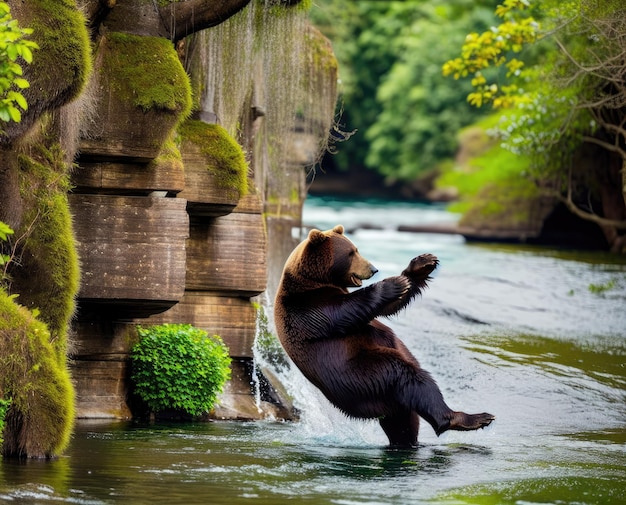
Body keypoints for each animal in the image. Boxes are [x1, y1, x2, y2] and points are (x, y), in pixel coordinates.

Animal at [272, 224, 492, 444]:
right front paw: (393, 283)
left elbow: (389, 307)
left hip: (386, 399)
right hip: (362, 375)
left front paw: (423, 263)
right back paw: (467, 418)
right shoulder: (307, 310)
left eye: (356, 249)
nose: (373, 269)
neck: (315, 282)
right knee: (409, 376)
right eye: (351, 253)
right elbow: (346, 309)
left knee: (404, 421)